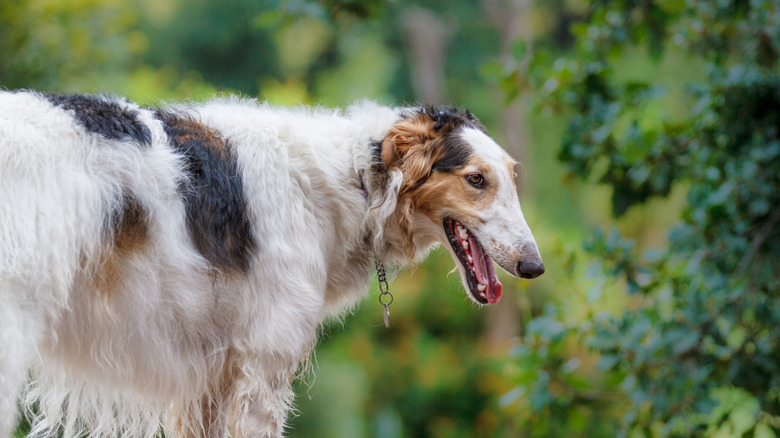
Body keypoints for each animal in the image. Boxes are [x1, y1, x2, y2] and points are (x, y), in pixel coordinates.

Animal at [0, 90, 544, 436]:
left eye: (513, 176)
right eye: (476, 179)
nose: (534, 267)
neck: (354, 180)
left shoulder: (209, 384)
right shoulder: (262, 369)